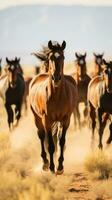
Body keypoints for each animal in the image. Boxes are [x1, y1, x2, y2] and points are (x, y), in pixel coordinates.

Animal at [29, 41, 78, 175]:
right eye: (51, 57)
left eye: (63, 57)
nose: (56, 78)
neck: (57, 96)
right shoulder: (47, 120)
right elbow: (50, 144)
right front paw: (52, 167)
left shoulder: (66, 120)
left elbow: (61, 141)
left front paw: (60, 167)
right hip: (37, 118)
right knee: (41, 136)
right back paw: (45, 163)